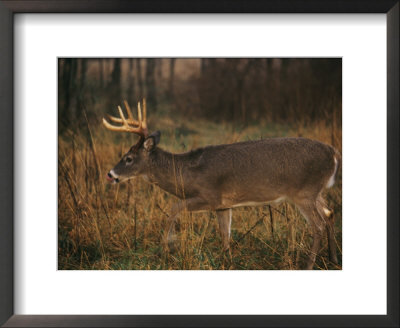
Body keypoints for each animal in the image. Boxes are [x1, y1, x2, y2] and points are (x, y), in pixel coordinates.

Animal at [103, 99, 340, 270]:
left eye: (128, 158)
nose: (110, 174)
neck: (186, 173)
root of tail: (334, 153)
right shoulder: (224, 205)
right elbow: (225, 234)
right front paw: (227, 262)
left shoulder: (210, 196)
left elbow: (174, 208)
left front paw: (166, 248)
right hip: (315, 192)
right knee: (330, 214)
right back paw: (333, 259)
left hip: (304, 192)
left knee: (318, 224)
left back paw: (309, 265)